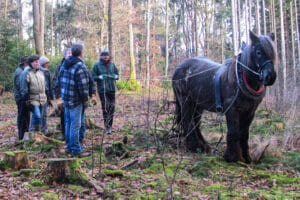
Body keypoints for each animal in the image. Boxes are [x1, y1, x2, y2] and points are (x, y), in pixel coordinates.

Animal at [172, 30, 278, 163]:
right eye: (258, 52)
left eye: (273, 52)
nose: (270, 77)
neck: (241, 79)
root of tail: (178, 68)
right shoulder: (231, 109)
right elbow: (234, 132)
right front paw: (232, 157)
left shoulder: (250, 111)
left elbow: (244, 134)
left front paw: (247, 158)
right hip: (186, 101)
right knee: (188, 122)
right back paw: (195, 147)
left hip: (198, 105)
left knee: (196, 123)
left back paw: (204, 146)